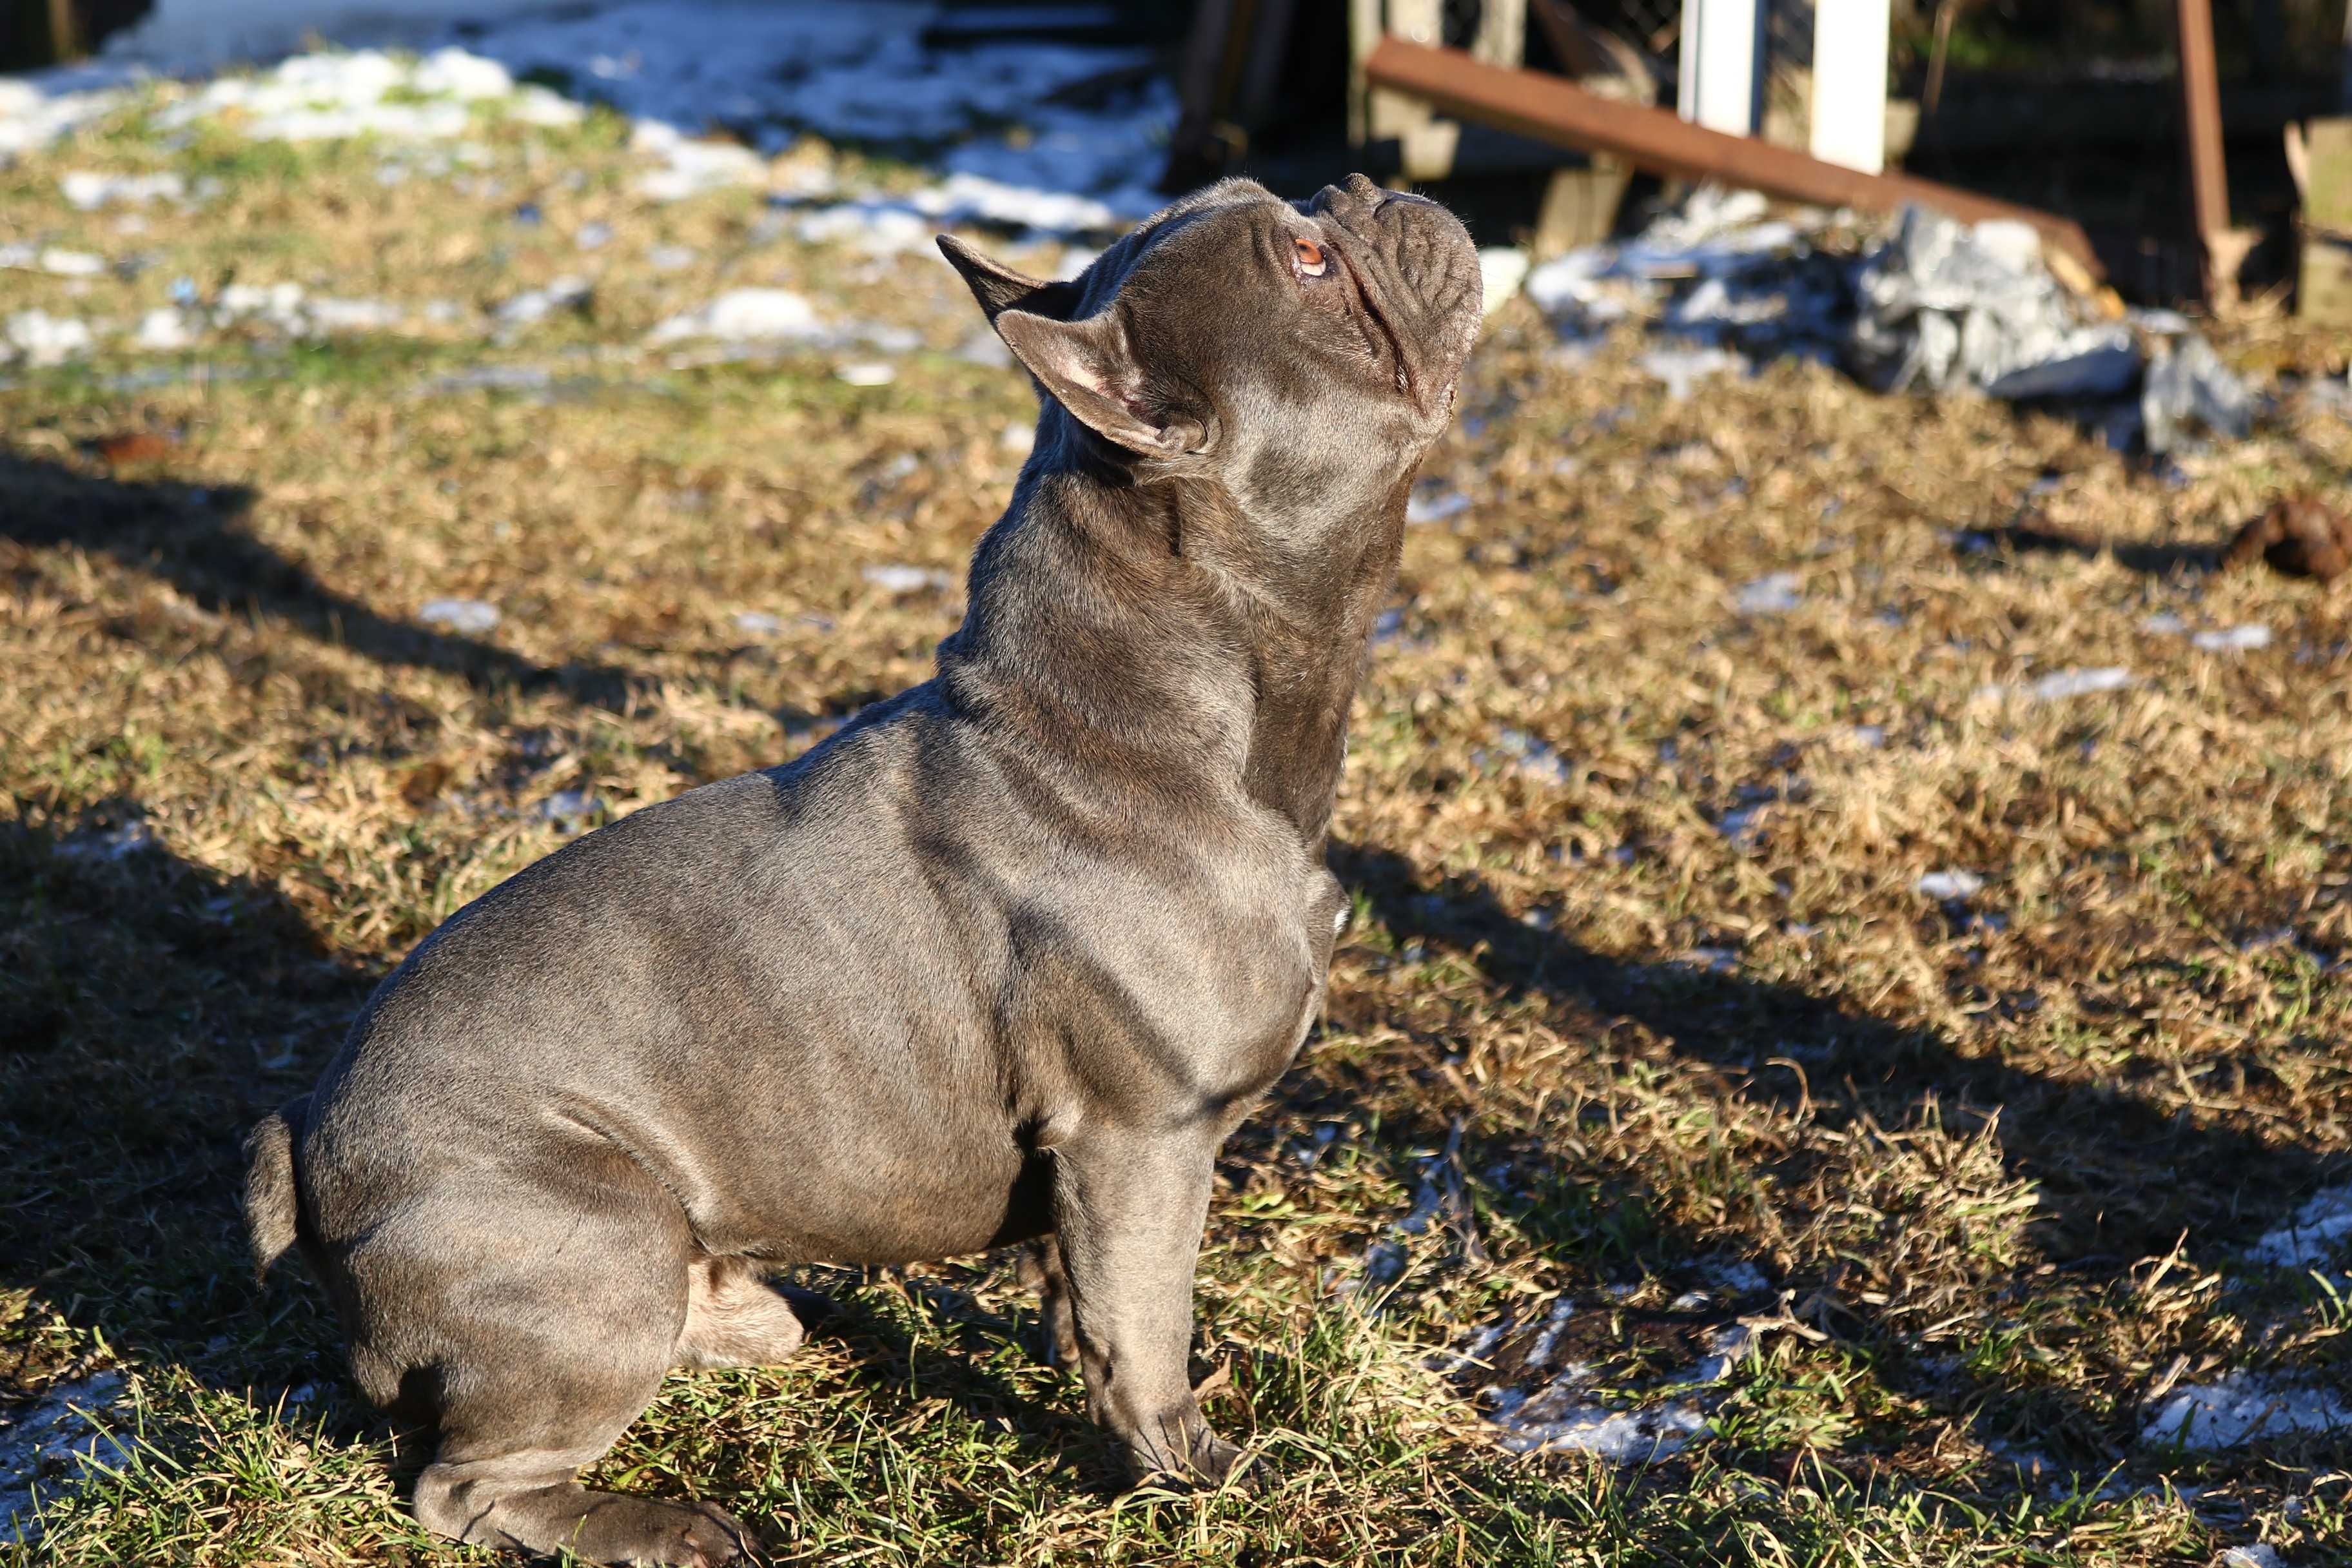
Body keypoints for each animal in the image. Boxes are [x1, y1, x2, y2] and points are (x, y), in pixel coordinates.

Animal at [248, 177, 1476, 1561]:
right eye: (1311, 259)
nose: (1362, 189)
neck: (1155, 716)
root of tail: (304, 1137)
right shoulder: (1144, 1140)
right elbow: (1145, 1328)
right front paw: (1198, 1474)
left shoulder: (1088, 1167)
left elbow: (1081, 1302)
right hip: (595, 1247)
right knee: (463, 1488)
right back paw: (663, 1523)